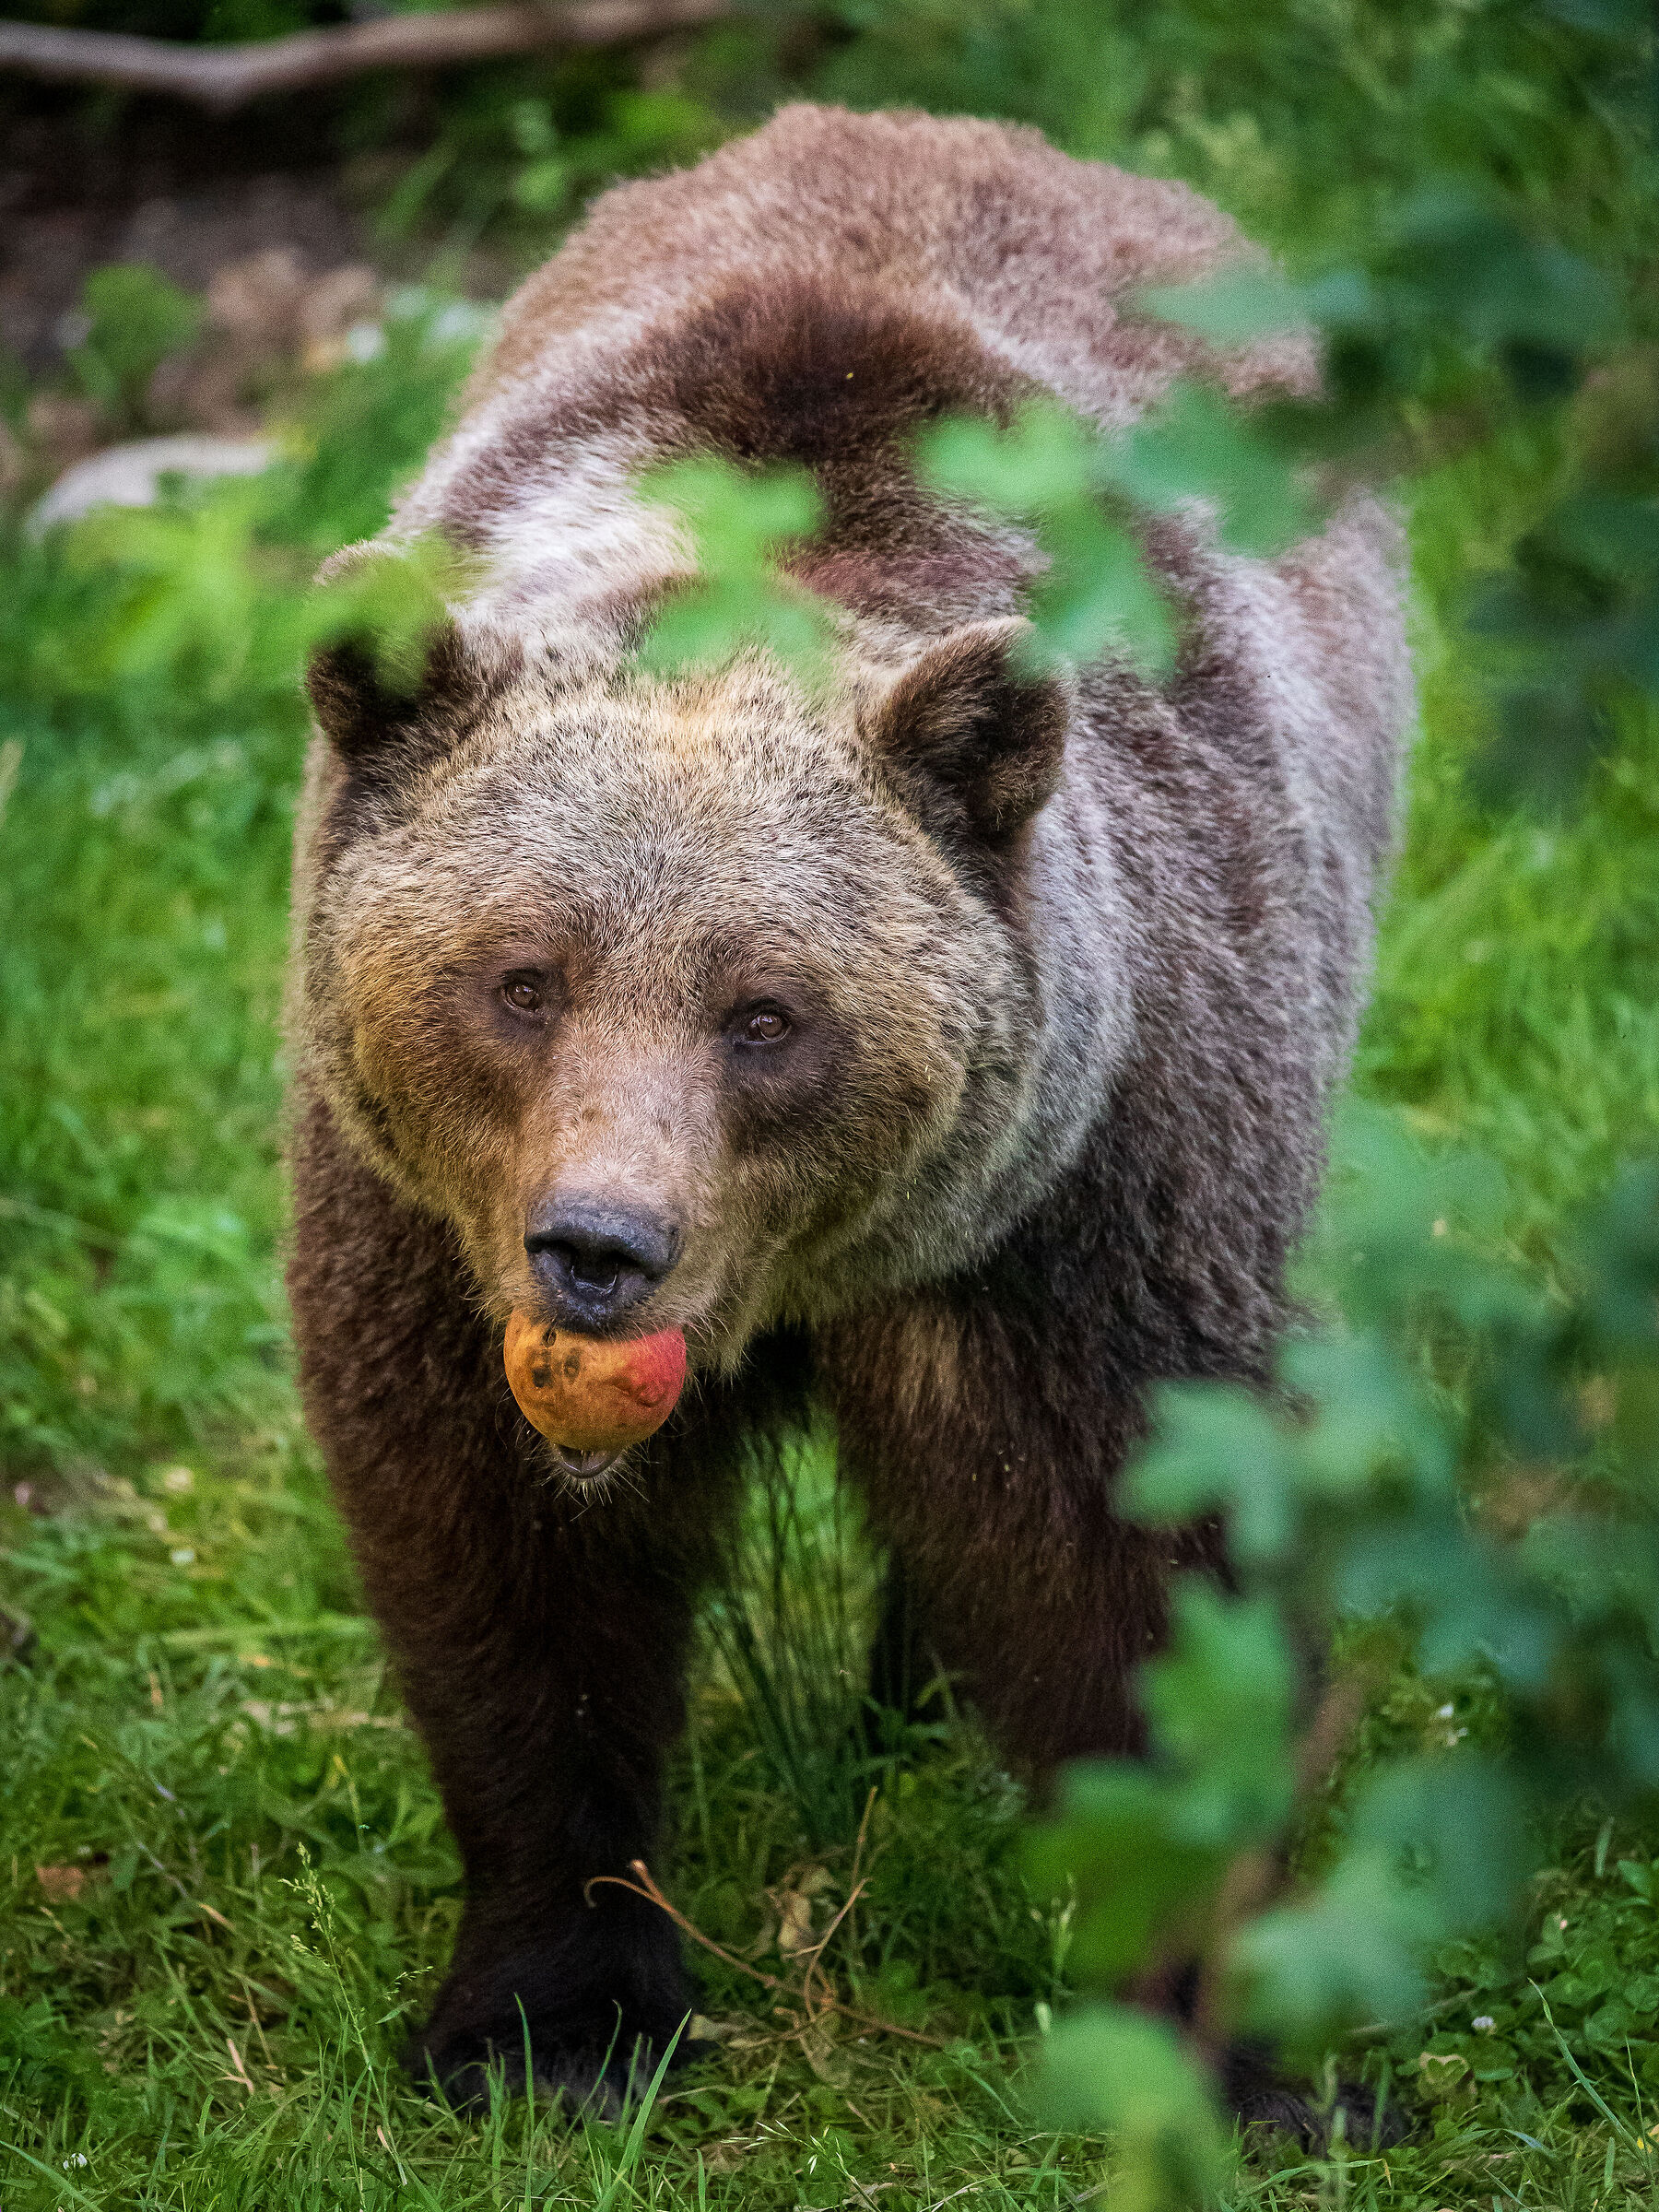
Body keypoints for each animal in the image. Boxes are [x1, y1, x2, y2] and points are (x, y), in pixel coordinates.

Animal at [286, 103, 1411, 2118]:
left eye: (767, 1015)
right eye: (523, 977)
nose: (599, 1249)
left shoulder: (1085, 1194)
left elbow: (1137, 1571)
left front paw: (1238, 2053)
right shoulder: (419, 1224)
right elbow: (502, 1565)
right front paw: (549, 2017)